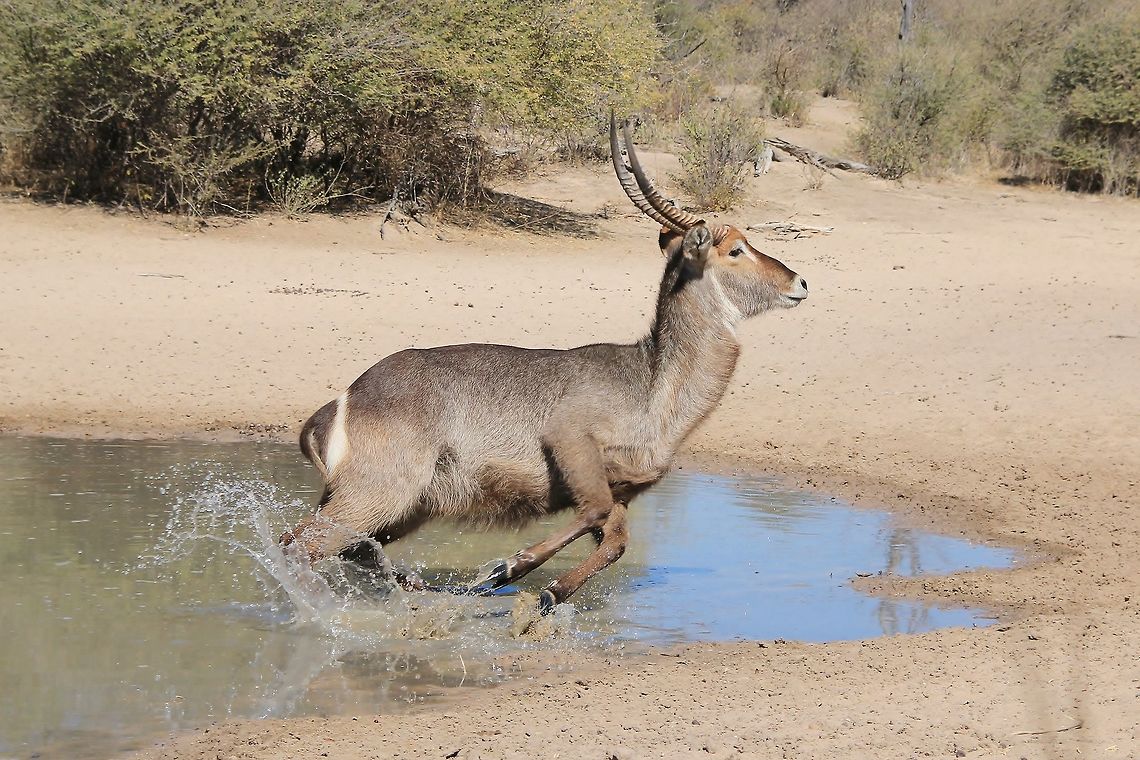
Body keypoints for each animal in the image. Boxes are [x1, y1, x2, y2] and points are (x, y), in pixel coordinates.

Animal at [281, 113, 809, 614]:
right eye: (736, 249)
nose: (800, 282)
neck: (651, 382)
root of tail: (342, 400)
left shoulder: (622, 488)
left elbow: (615, 540)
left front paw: (548, 594)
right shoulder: (570, 439)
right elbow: (593, 513)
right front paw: (506, 569)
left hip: (401, 506)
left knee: (341, 547)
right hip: (379, 496)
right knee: (301, 545)